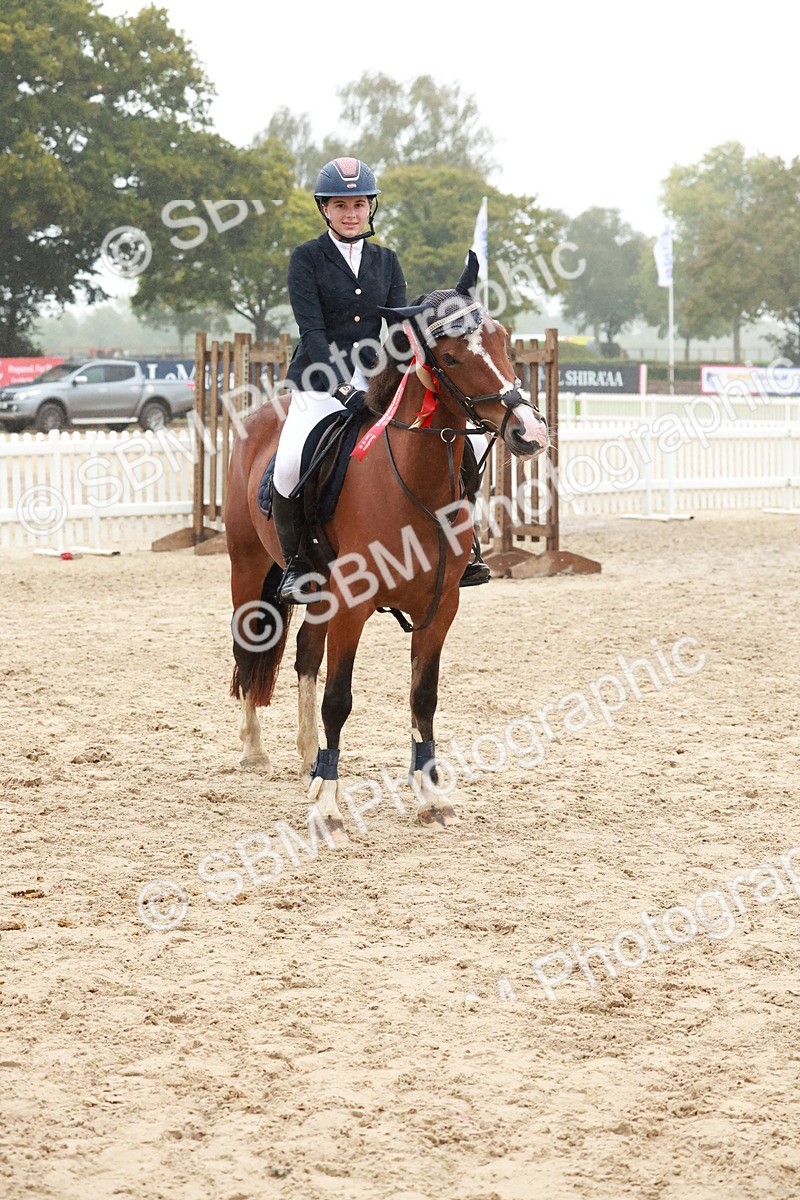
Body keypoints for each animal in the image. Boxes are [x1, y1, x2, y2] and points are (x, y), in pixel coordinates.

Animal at [223, 251, 549, 840]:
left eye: (501, 338)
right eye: (450, 356)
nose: (529, 433)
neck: (413, 482)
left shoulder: (440, 607)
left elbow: (424, 697)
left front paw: (430, 795)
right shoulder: (352, 606)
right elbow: (339, 700)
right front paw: (329, 809)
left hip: (318, 593)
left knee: (304, 653)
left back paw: (307, 762)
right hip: (249, 570)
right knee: (251, 649)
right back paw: (256, 751)